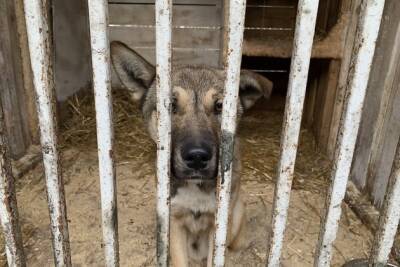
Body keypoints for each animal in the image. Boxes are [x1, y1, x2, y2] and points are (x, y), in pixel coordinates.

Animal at [109, 40, 272, 266]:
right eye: (170, 106)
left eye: (220, 106)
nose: (197, 157)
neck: (196, 186)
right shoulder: (174, 221)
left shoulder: (218, 226)